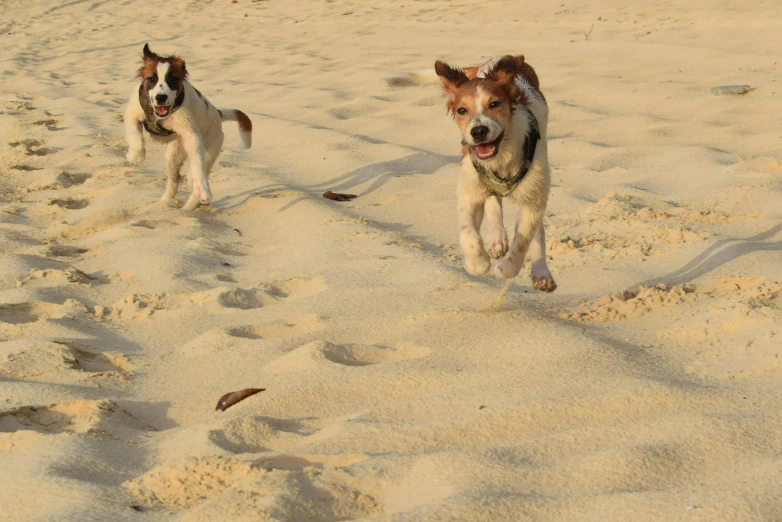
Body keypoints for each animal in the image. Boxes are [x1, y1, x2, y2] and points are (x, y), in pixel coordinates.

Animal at [125, 43, 253, 209]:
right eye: (152, 79)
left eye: (173, 79)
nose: (161, 97)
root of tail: (218, 113)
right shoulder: (132, 115)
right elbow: (135, 135)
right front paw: (136, 156)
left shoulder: (191, 134)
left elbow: (198, 162)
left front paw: (203, 189)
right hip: (173, 156)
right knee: (174, 179)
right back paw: (166, 202)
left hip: (209, 149)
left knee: (194, 175)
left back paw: (188, 207)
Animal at [434, 56, 556, 290]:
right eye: (462, 110)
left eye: (494, 104)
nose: (478, 132)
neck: (500, 159)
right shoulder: (469, 190)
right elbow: (468, 233)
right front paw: (477, 264)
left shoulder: (533, 199)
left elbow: (523, 241)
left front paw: (504, 269)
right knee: (493, 201)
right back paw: (496, 239)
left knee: (537, 230)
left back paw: (541, 273)